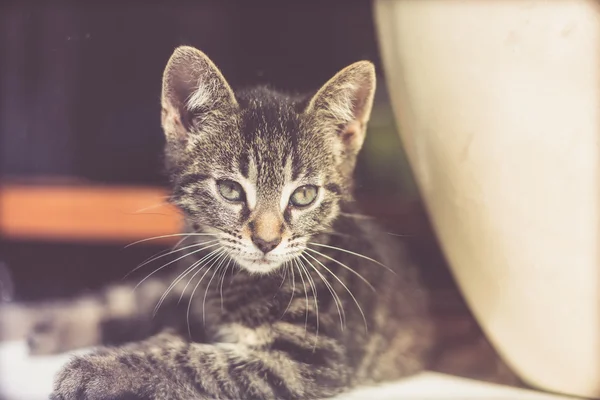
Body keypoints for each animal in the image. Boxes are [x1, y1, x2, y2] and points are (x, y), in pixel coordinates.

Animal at [7, 47, 506, 400]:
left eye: (303, 195)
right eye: (230, 190)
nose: (267, 241)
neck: (237, 285)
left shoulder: (309, 359)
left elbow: (197, 362)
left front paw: (97, 370)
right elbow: (171, 339)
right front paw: (115, 357)